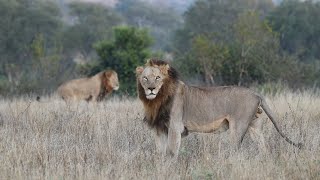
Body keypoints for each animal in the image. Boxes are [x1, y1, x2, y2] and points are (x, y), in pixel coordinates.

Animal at [136, 58, 302, 158]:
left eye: (157, 78)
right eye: (145, 78)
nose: (151, 89)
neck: (156, 101)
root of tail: (256, 93)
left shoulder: (175, 127)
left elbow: (171, 152)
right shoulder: (159, 129)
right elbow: (160, 152)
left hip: (238, 127)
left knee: (236, 151)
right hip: (255, 126)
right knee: (263, 147)